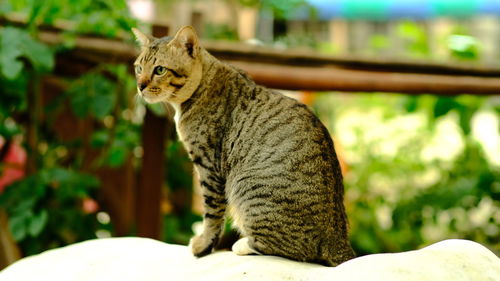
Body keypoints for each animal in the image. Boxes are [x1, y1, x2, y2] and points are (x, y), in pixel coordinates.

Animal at [133, 25, 356, 264]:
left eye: (160, 70)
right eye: (139, 68)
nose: (140, 86)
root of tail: (338, 240)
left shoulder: (209, 167)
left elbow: (211, 215)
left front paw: (202, 244)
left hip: (245, 185)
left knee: (293, 249)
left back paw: (242, 245)